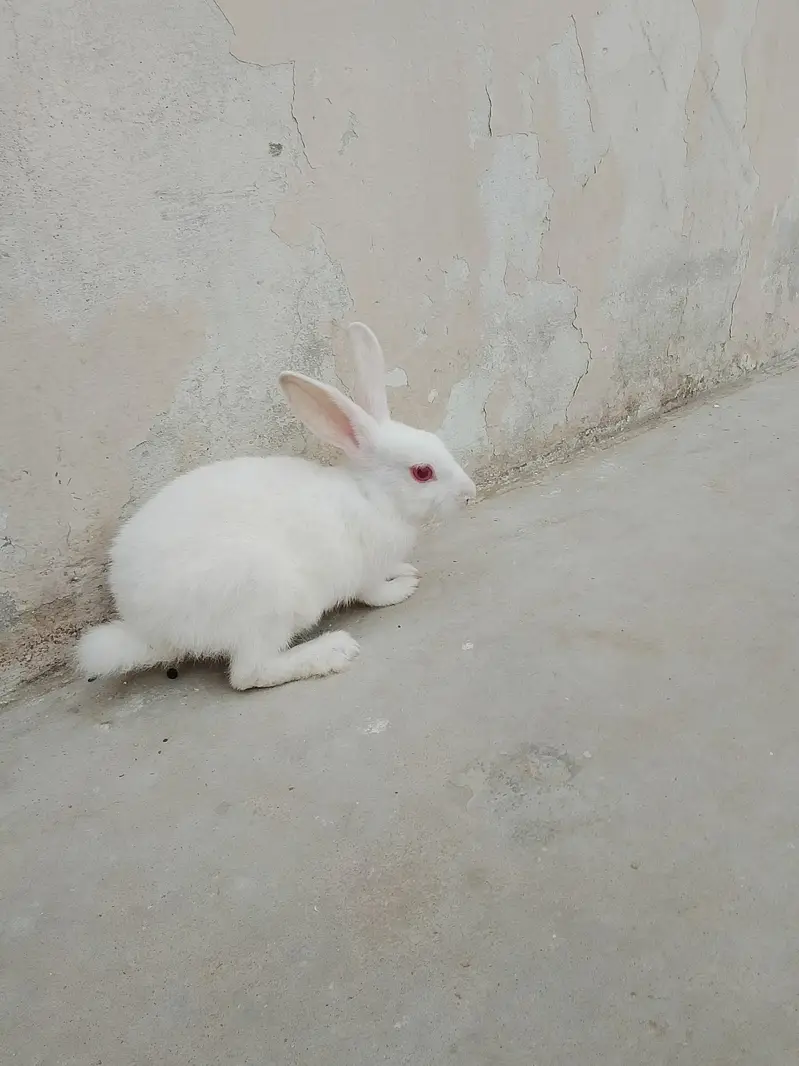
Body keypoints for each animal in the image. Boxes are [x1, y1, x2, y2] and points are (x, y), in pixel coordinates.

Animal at [76, 322, 477, 690]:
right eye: (422, 472)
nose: (469, 493)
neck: (373, 496)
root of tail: (148, 629)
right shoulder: (365, 572)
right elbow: (375, 594)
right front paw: (403, 588)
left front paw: (405, 571)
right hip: (265, 598)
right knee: (248, 674)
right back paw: (332, 651)